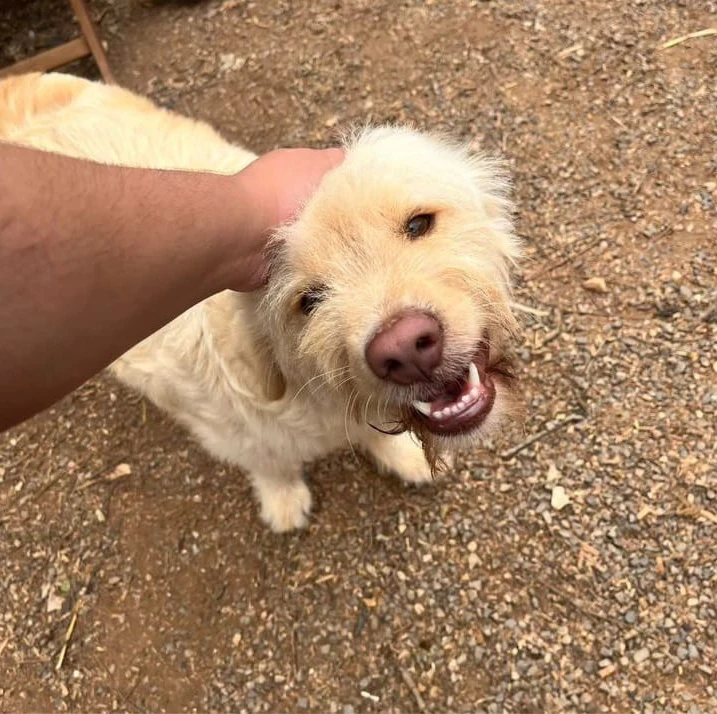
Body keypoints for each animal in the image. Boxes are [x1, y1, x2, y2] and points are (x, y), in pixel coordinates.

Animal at [0, 73, 522, 532]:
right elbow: (270, 463)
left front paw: (402, 455)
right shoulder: (233, 433)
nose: (406, 349)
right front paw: (283, 501)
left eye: (418, 223)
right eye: (307, 300)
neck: (310, 393)